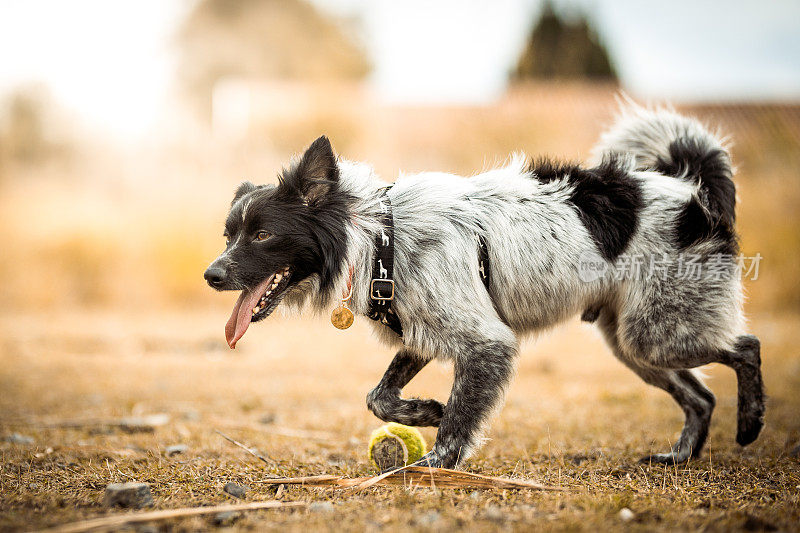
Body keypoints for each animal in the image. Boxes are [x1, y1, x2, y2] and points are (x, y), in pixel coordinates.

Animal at [205, 104, 764, 466]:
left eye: (263, 234)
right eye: (230, 235)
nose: (211, 275)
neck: (384, 235)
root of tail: (694, 191)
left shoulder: (484, 342)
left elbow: (458, 422)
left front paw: (435, 461)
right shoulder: (423, 328)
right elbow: (379, 396)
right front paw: (425, 411)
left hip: (657, 333)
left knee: (747, 347)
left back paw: (752, 421)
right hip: (633, 342)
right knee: (700, 398)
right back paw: (682, 455)